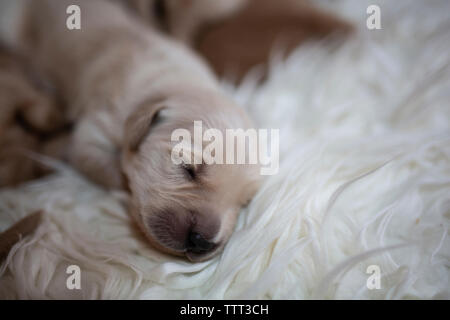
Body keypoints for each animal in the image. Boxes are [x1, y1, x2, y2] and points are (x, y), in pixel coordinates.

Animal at [0, 0, 260, 262]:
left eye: (244, 202)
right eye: (188, 169)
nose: (202, 242)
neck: (174, 83)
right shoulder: (96, 130)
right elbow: (108, 167)